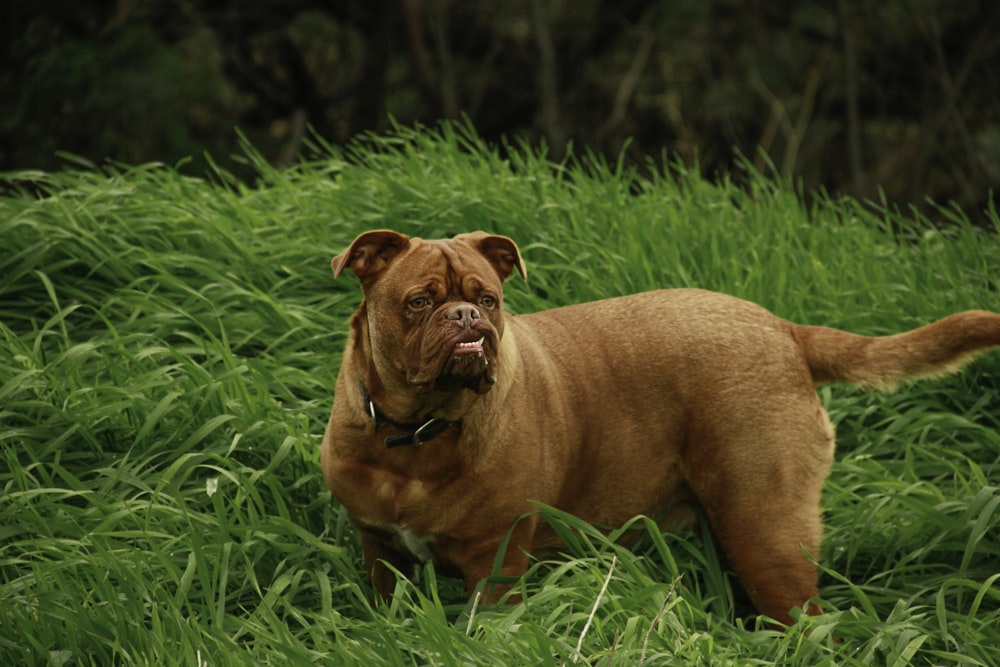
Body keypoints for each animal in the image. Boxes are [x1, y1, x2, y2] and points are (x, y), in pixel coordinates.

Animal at [322, 230, 1000, 628]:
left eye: (488, 298)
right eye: (419, 301)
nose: (466, 317)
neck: (417, 434)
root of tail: (785, 330)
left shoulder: (496, 562)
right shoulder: (380, 553)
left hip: (766, 529)